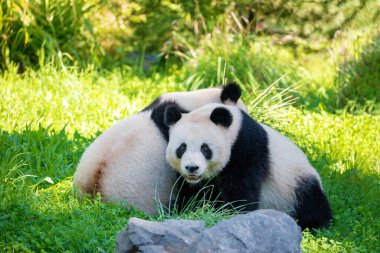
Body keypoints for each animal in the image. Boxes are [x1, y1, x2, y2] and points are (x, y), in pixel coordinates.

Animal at [162, 102, 332, 229]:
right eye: (182, 147)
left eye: (205, 148)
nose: (192, 168)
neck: (232, 130)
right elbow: (193, 192)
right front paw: (182, 209)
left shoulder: (247, 148)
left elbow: (241, 190)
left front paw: (230, 215)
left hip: (295, 181)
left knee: (310, 202)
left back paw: (312, 224)